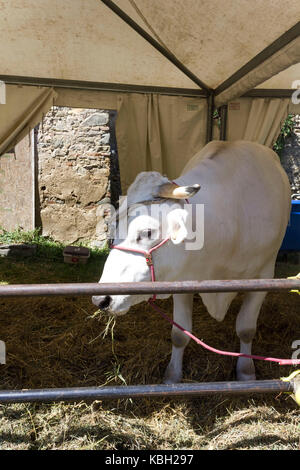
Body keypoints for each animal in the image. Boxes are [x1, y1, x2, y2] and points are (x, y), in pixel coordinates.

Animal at [93, 140, 290, 382]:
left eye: (146, 232)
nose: (100, 299)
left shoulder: (264, 275)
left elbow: (246, 329)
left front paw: (246, 371)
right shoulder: (181, 279)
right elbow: (180, 334)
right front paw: (172, 376)